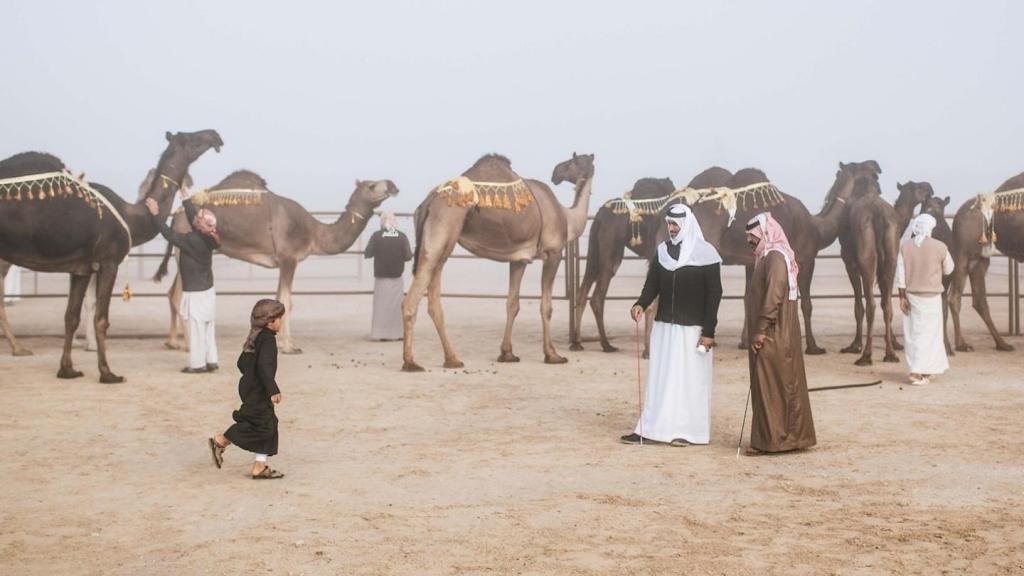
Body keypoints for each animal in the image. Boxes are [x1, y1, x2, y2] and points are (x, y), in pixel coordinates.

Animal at [0, 130, 223, 381]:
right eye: (191, 138)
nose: (215, 136)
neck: (131, 216)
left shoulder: (81, 268)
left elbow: (71, 317)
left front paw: (67, 369)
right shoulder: (108, 262)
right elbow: (101, 319)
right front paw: (107, 373)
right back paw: (19, 348)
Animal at [153, 168, 397, 352]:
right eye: (371, 186)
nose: (393, 184)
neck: (314, 232)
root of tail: (176, 216)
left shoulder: (283, 261)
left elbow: (279, 300)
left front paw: (280, 341)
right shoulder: (289, 258)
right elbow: (287, 301)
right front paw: (290, 346)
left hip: (180, 251)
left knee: (171, 292)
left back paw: (172, 341)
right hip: (185, 248)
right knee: (178, 296)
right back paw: (188, 345)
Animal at [399, 150, 593, 368]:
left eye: (570, 163)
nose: (556, 173)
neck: (568, 219)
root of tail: (429, 202)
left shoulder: (519, 260)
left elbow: (512, 304)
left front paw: (507, 353)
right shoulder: (554, 253)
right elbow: (546, 307)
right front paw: (552, 355)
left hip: (439, 244)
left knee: (434, 299)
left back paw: (452, 359)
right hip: (443, 228)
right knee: (413, 297)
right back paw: (411, 362)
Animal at [946, 169, 1024, 350]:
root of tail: (957, 216)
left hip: (980, 260)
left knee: (979, 299)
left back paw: (1002, 344)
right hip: (964, 254)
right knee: (954, 297)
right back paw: (962, 344)